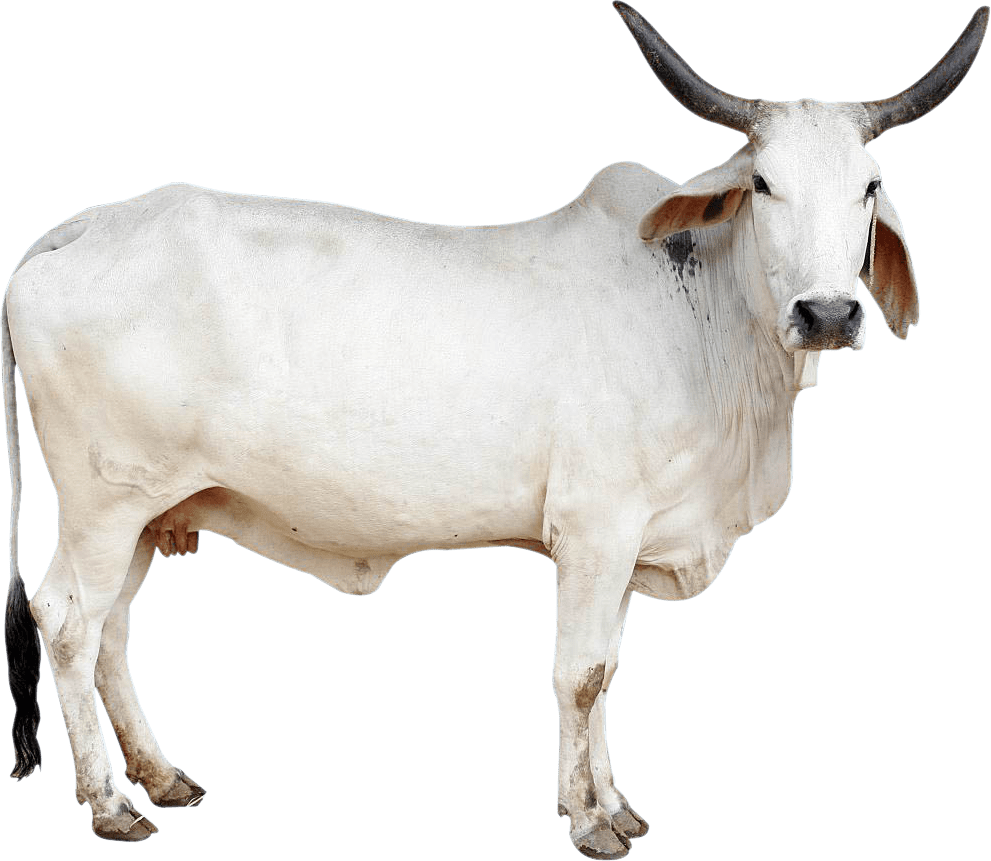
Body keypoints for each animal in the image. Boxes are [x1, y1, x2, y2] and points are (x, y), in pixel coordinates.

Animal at [2, 1, 987, 857]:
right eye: (763, 183)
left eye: (869, 186)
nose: (826, 313)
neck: (703, 316)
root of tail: (79, 228)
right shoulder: (593, 528)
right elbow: (578, 674)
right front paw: (588, 821)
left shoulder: (627, 543)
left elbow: (606, 670)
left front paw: (612, 802)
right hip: (101, 503)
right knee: (66, 621)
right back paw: (109, 803)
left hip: (149, 512)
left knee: (114, 629)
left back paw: (161, 775)